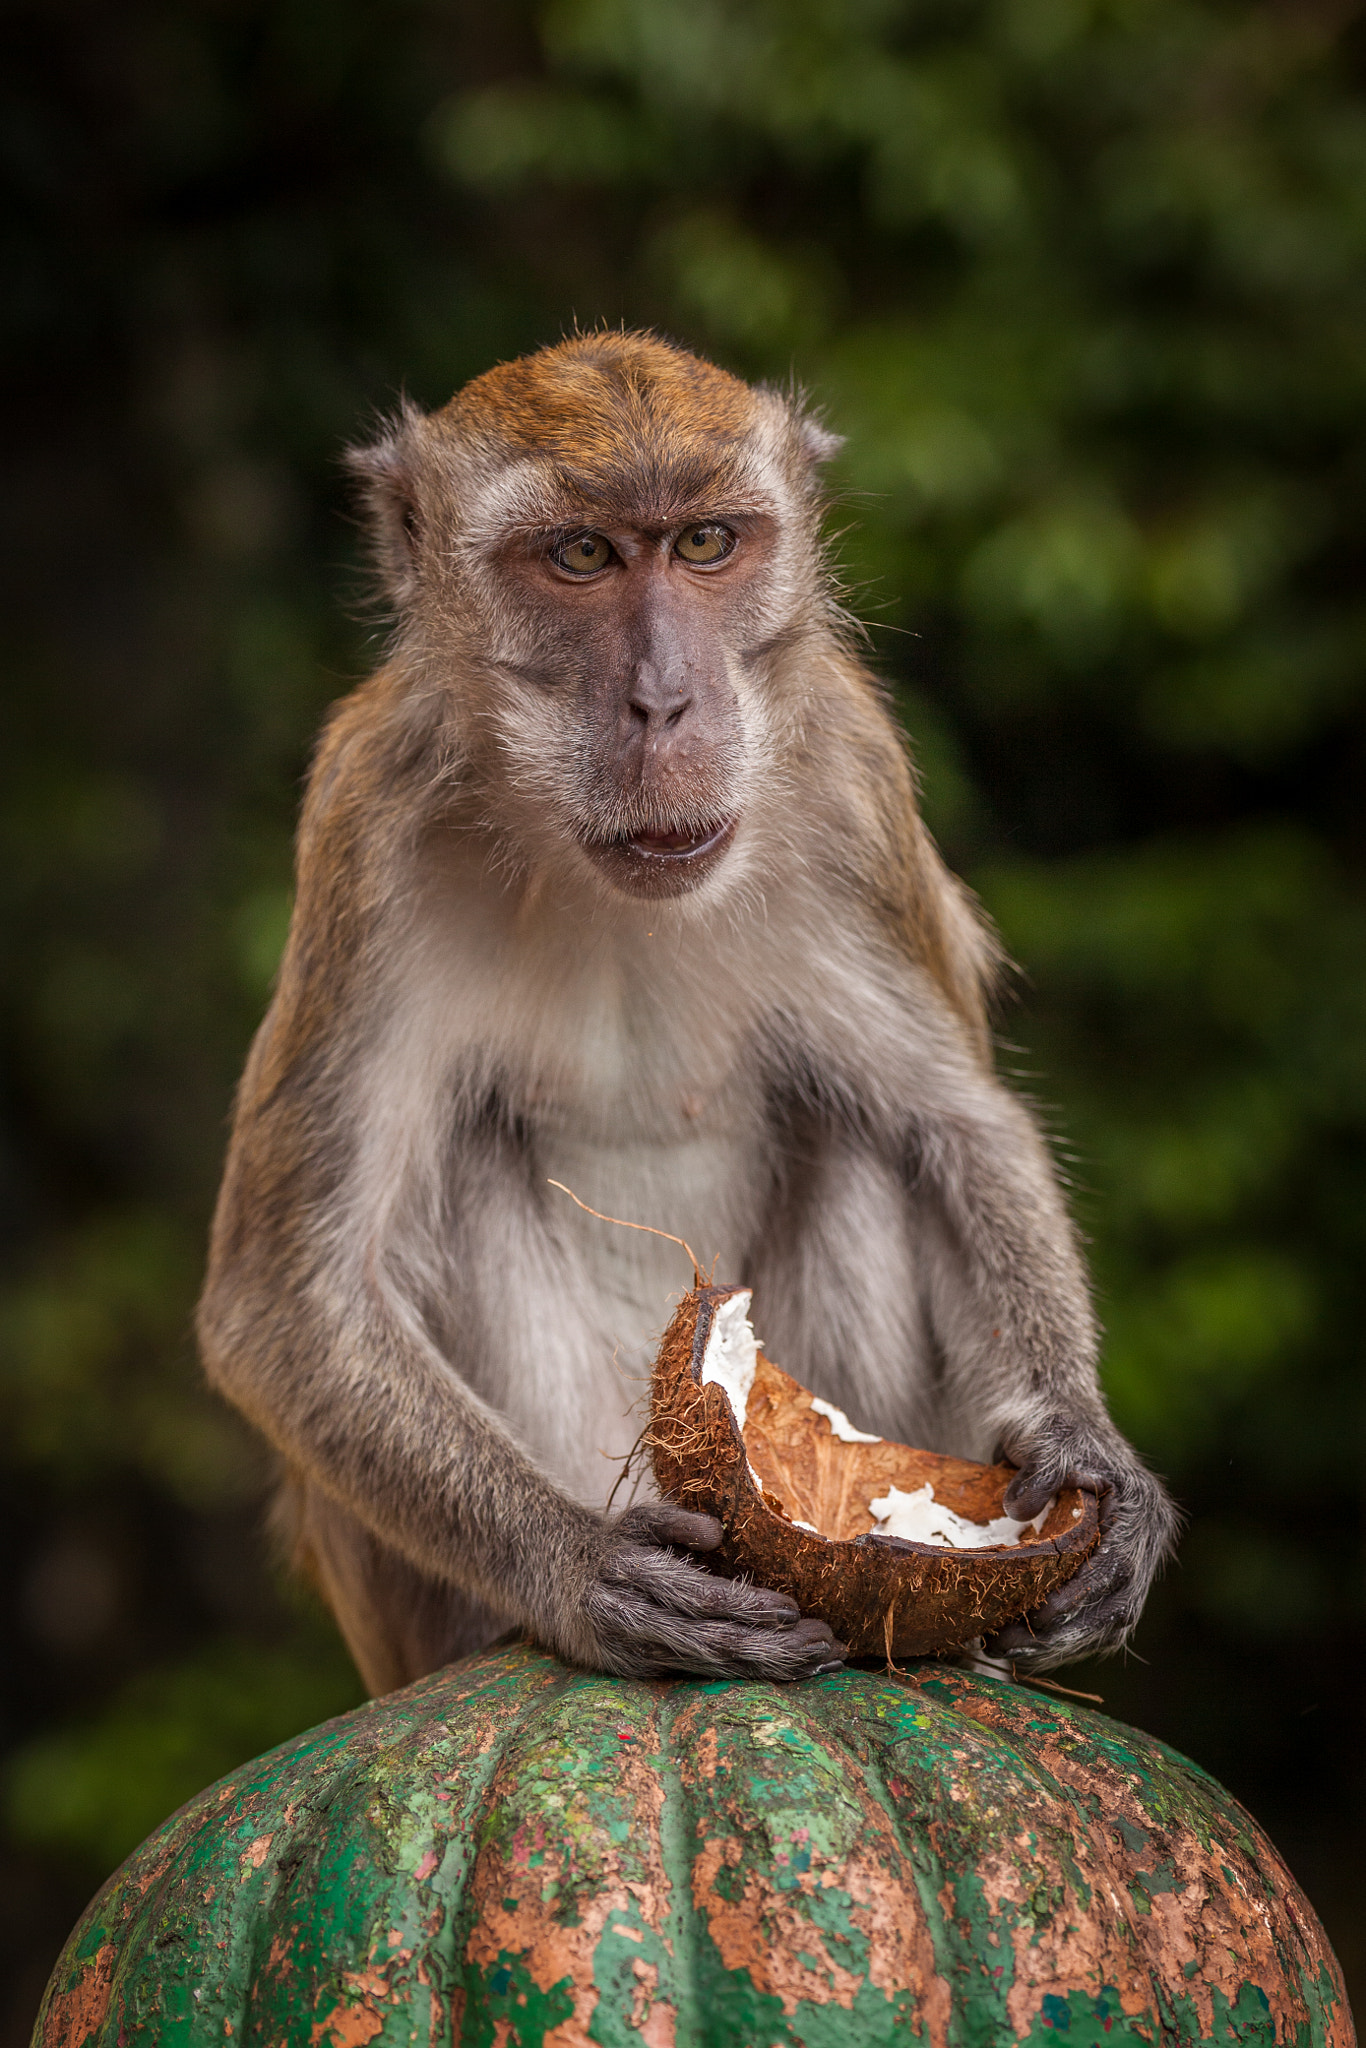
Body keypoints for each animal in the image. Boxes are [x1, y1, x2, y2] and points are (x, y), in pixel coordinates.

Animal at [196, 330, 1178, 1699]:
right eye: (581, 556)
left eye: (706, 543)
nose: (663, 701)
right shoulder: (365, 829)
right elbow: (283, 1293)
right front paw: (576, 1566)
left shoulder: (850, 785)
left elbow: (957, 1128)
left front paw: (1083, 1449)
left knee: (867, 1136)